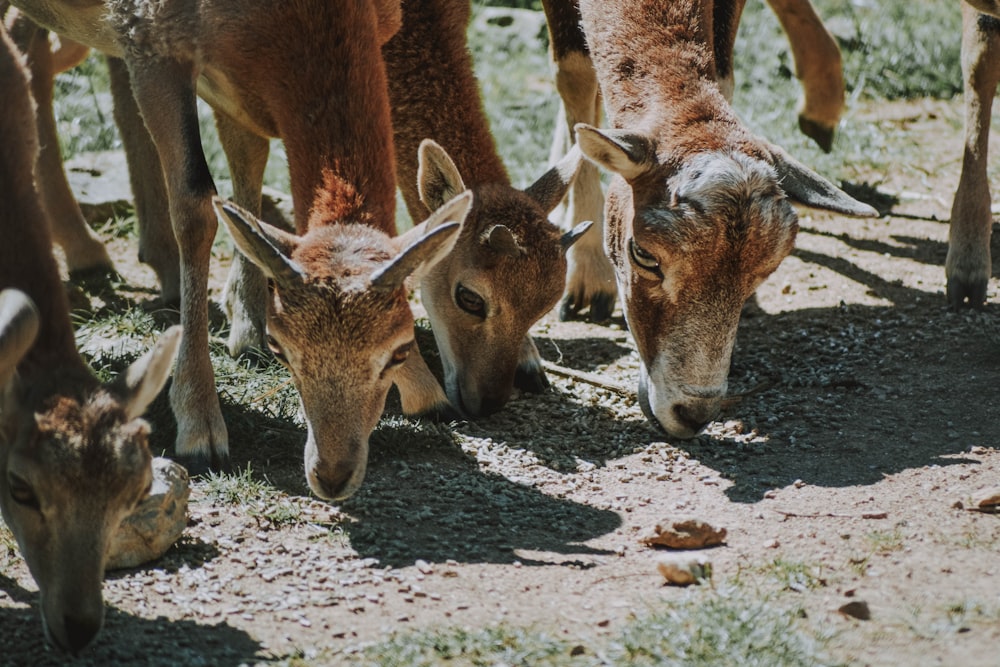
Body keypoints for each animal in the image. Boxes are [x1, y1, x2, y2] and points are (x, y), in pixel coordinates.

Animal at [8, 0, 472, 498]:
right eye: (281, 346)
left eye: (400, 349)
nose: (331, 475)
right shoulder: (149, 41)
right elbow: (196, 204)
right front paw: (201, 429)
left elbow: (249, 163)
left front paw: (428, 393)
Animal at [540, 0, 876, 438]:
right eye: (643, 255)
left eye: (764, 272)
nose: (693, 413)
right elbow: (575, 74)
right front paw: (587, 281)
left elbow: (722, 74)